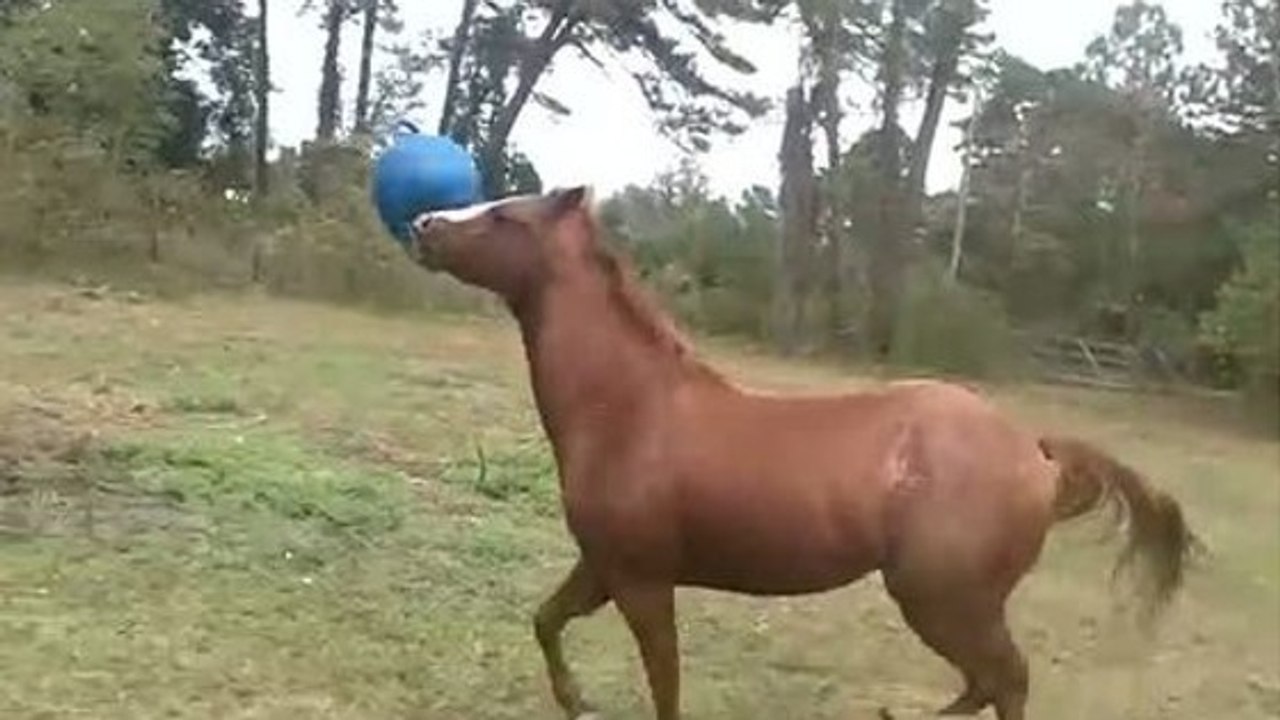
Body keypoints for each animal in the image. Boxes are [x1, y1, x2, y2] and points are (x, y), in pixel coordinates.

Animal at [406, 186, 1195, 720]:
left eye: (506, 217)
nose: (423, 224)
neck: (631, 411)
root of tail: (1038, 455)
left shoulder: (642, 580)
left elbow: (665, 684)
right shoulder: (603, 566)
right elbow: (546, 620)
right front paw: (574, 700)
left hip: (944, 600)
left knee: (1007, 679)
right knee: (986, 683)